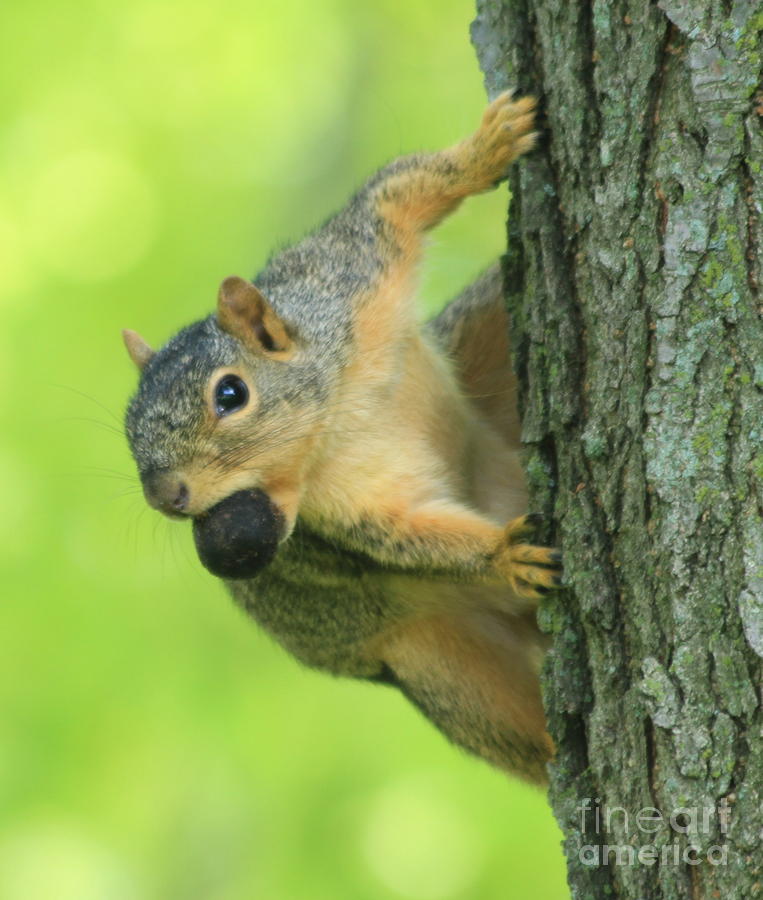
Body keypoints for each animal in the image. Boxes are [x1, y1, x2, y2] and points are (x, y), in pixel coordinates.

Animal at [124, 91, 560, 780]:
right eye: (128, 427)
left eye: (230, 394)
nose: (167, 496)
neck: (337, 421)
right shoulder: (348, 511)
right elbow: (406, 535)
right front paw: (501, 554)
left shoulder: (346, 270)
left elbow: (399, 191)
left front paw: (487, 146)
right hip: (442, 664)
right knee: (529, 744)